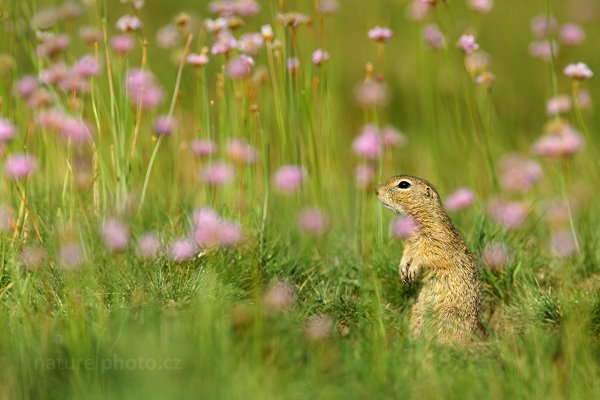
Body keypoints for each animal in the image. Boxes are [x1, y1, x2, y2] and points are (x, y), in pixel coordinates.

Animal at [376, 175, 482, 344]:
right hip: (418, 312)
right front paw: (403, 269)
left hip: (449, 316)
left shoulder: (437, 239)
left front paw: (412, 269)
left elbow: (428, 255)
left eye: (403, 184)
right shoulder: (411, 242)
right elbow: (407, 252)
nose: (376, 190)